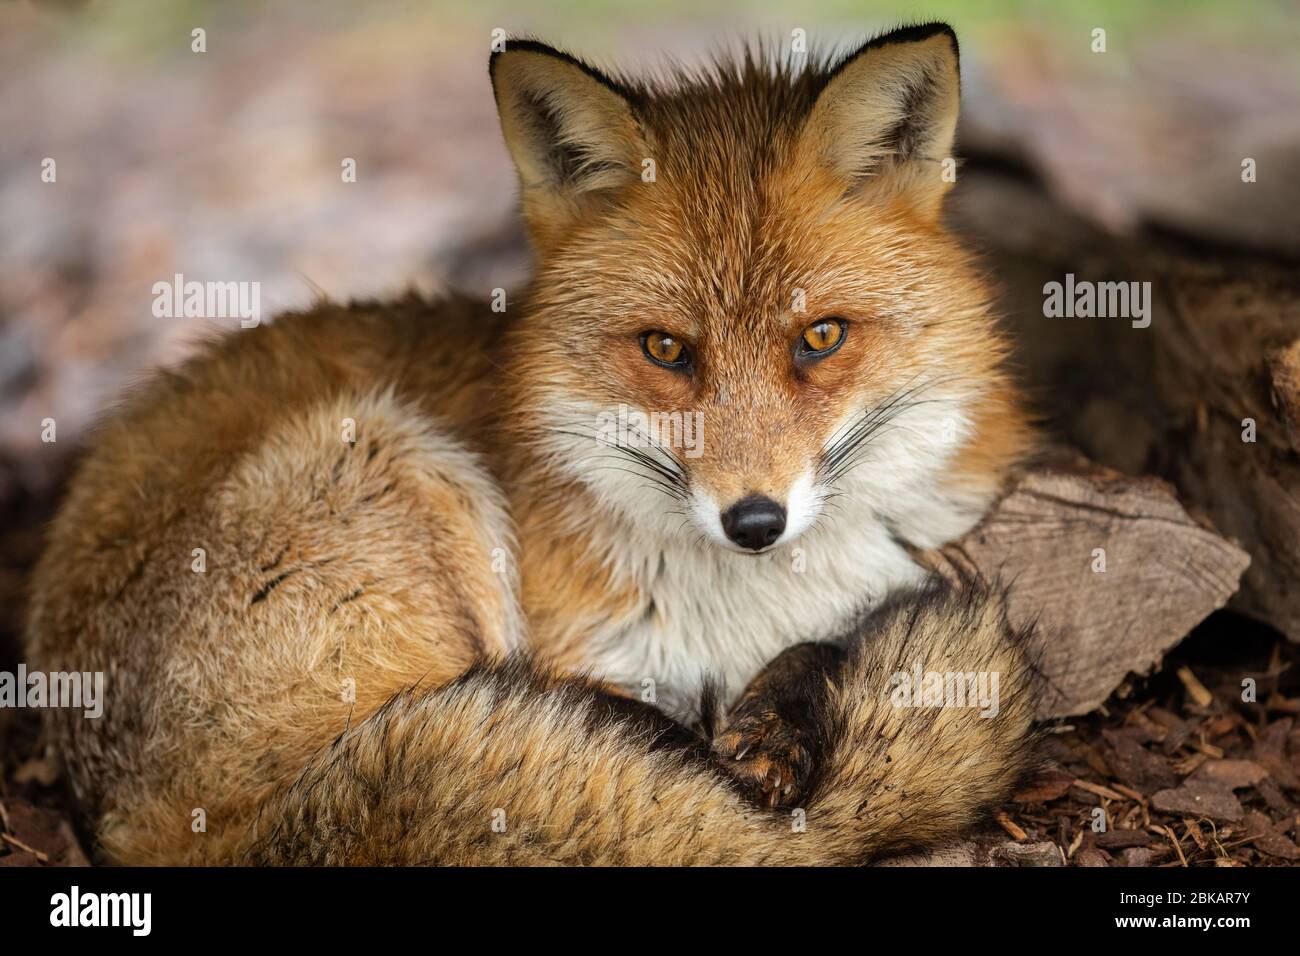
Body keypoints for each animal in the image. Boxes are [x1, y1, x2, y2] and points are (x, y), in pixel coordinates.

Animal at [26, 22, 1039, 865]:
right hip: (397, 464)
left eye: (820, 338)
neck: (741, 611)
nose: (754, 521)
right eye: (665, 350)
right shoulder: (579, 651)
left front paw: (775, 720)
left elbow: (823, 646)